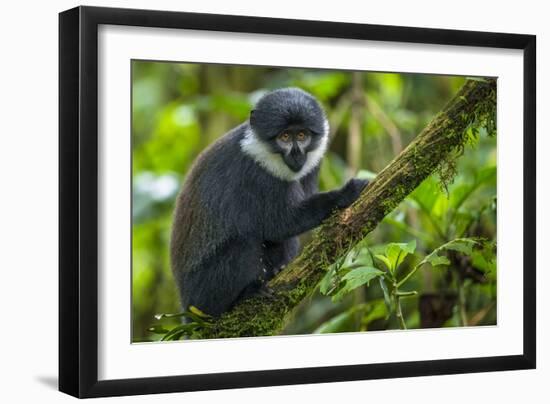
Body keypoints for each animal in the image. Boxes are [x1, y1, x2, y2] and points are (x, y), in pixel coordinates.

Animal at [171, 87, 370, 316]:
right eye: (284, 137)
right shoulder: (256, 173)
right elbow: (279, 224)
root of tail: (185, 304)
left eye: (302, 135)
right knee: (245, 241)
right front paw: (346, 193)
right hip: (204, 294)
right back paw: (246, 293)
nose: (297, 153)